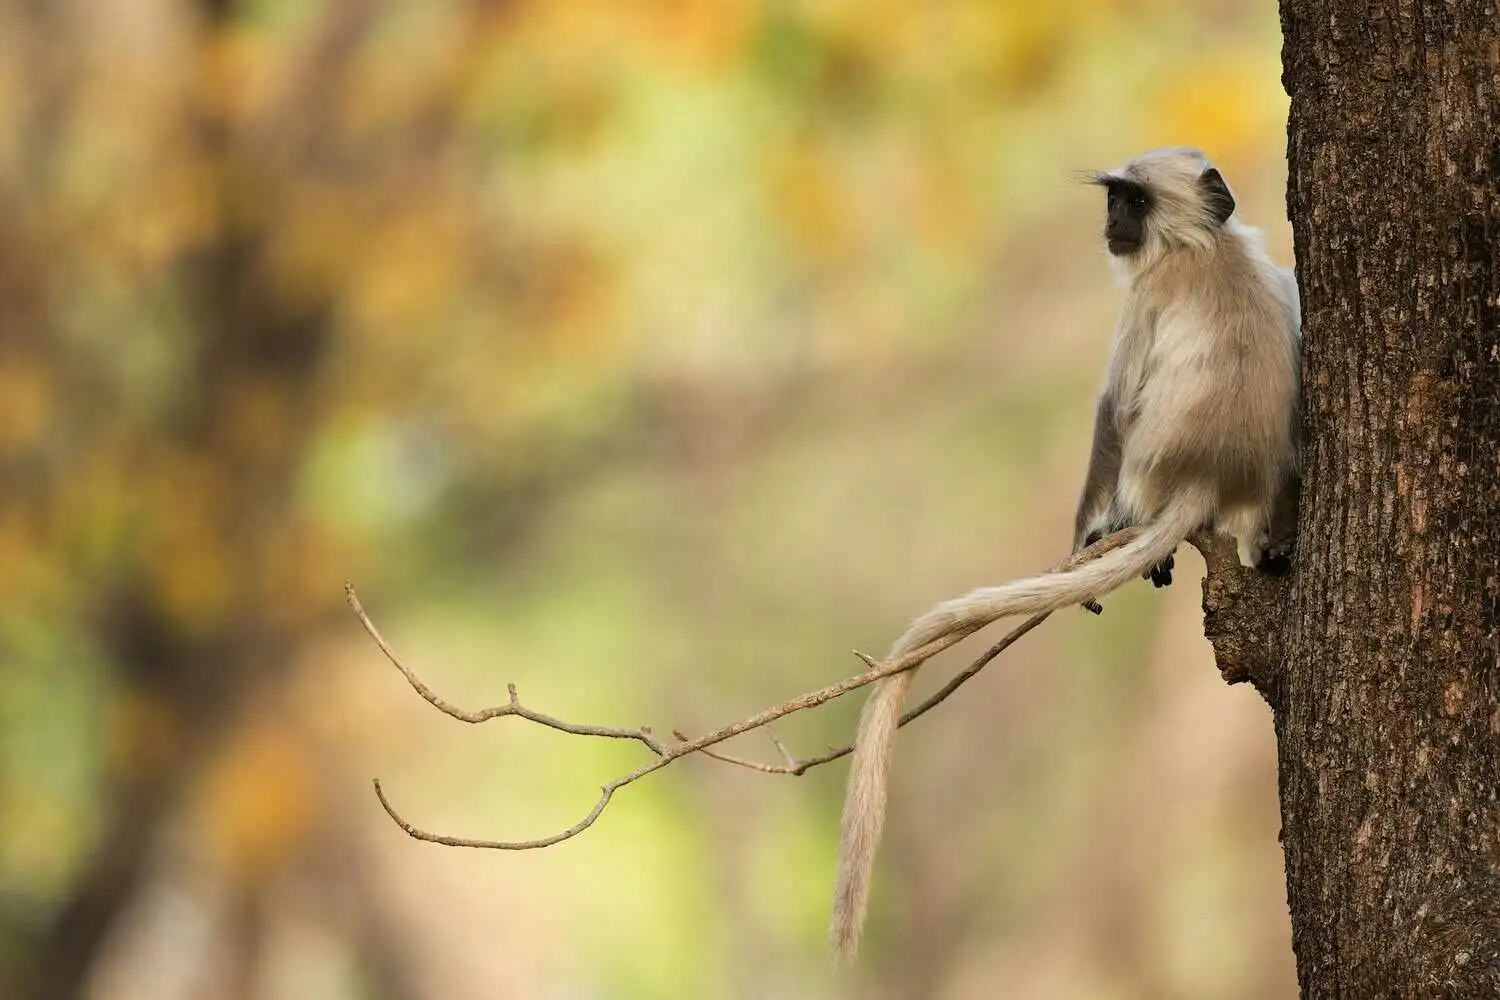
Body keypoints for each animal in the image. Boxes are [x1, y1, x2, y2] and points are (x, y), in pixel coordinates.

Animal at [829, 147, 1302, 963]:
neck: (1205, 246)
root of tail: (1204, 479)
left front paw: (1083, 535)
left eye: (1132, 202)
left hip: (1146, 469)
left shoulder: (1146, 299)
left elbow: (1111, 410)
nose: (1110, 224)